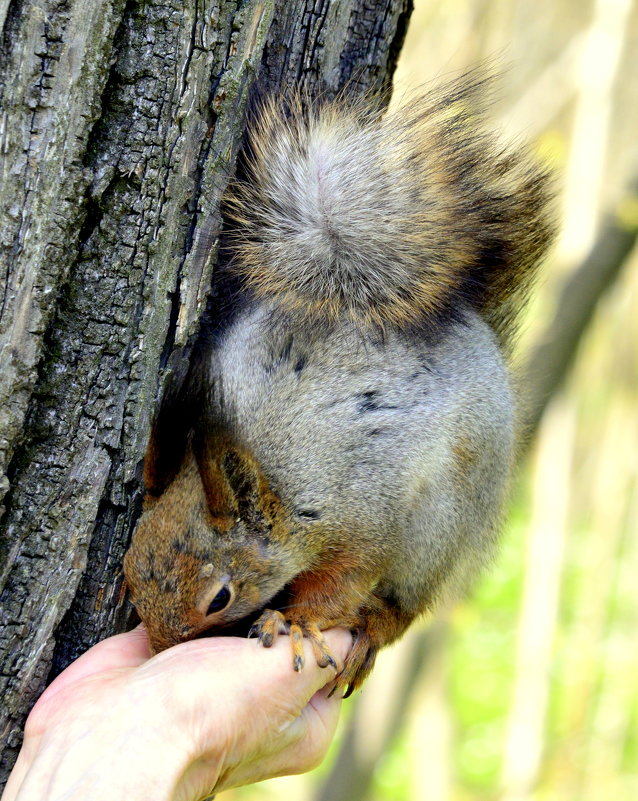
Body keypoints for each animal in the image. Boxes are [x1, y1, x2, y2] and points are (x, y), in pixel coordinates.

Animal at [122, 78, 552, 696]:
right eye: (129, 573)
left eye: (220, 598)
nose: (159, 651)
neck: (282, 477)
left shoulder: (364, 521)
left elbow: (343, 583)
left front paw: (300, 621)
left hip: (437, 527)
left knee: (402, 610)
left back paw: (374, 630)